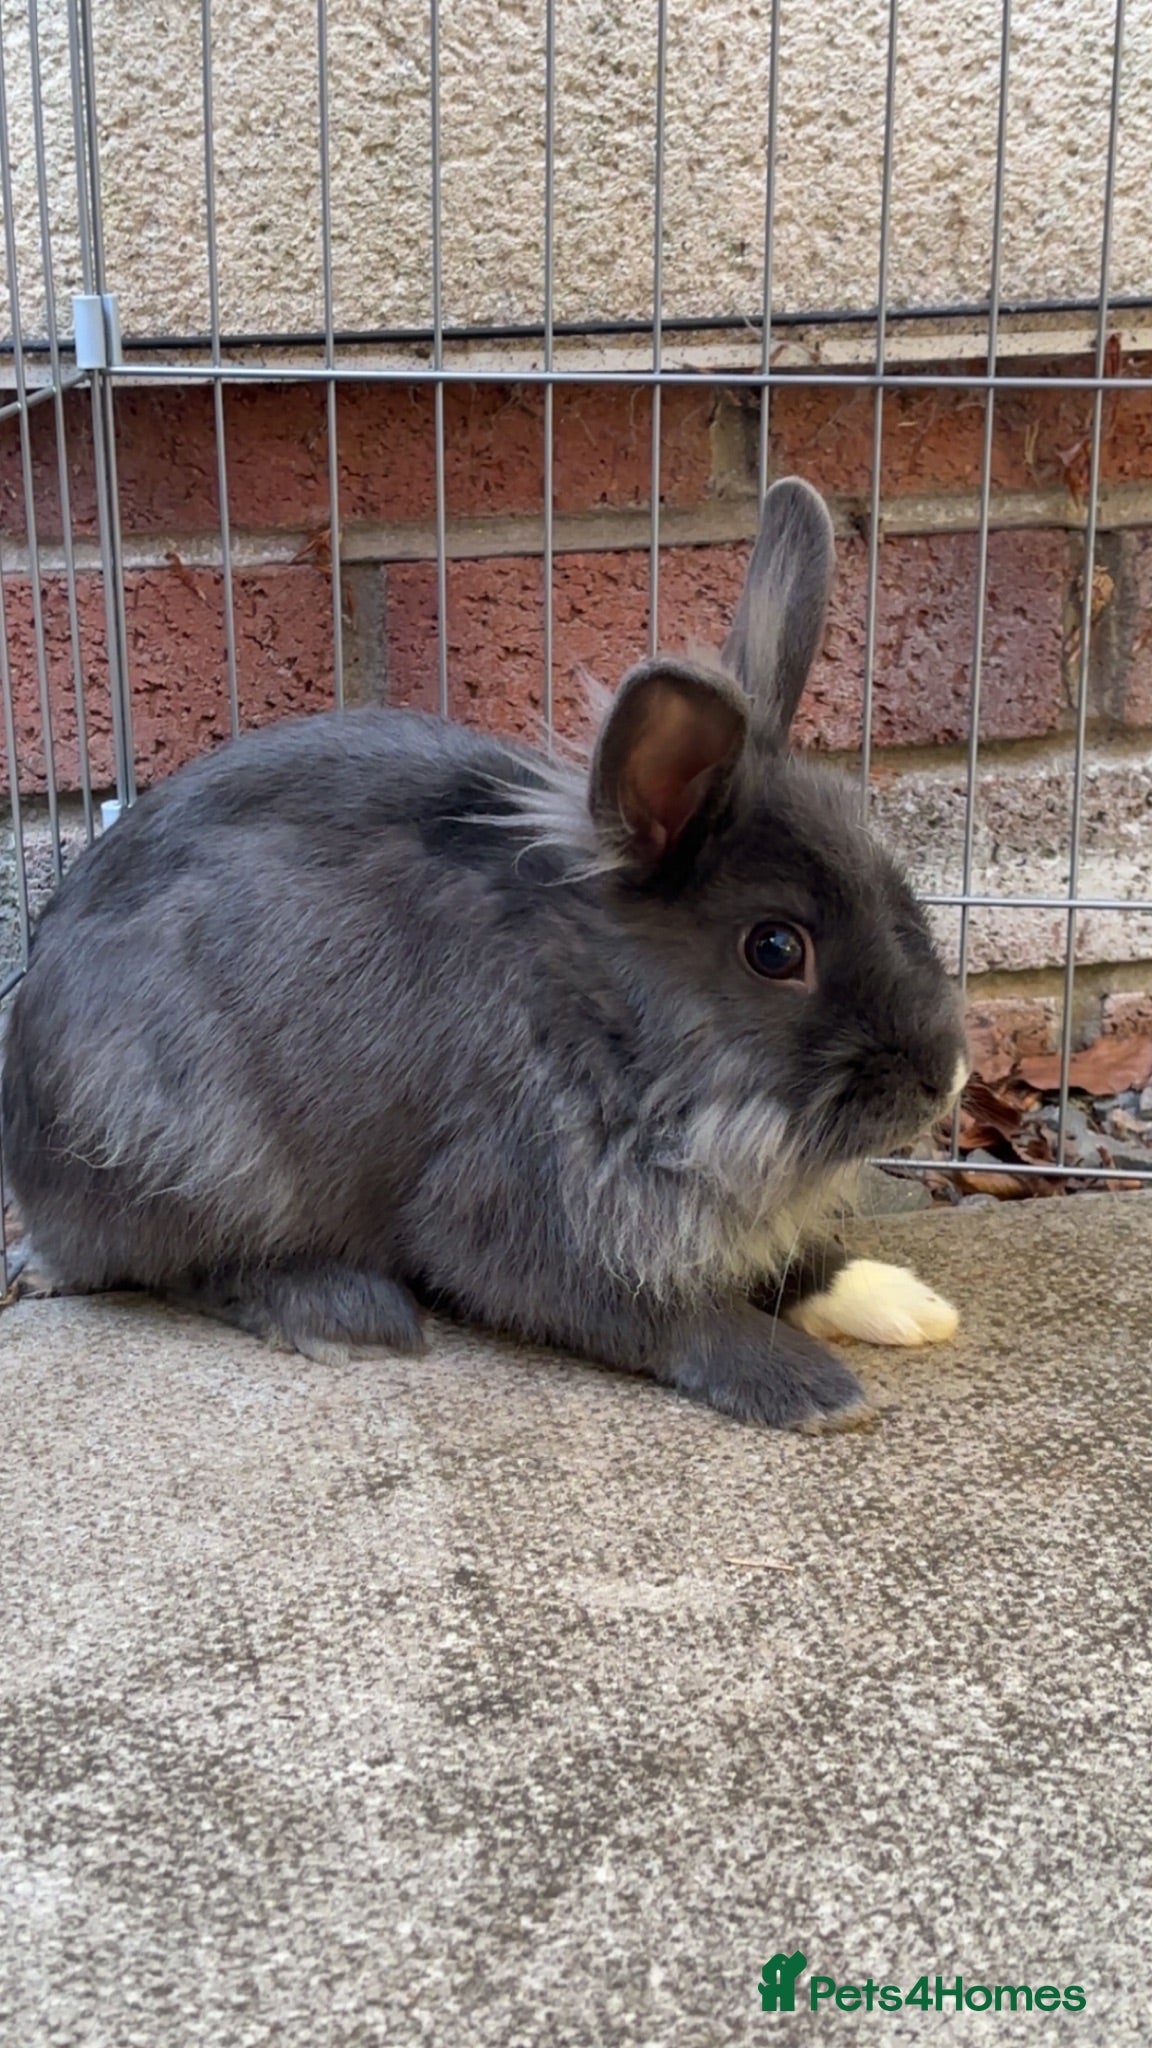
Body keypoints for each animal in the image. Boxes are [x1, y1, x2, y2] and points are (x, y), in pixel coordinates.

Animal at [1, 477, 967, 1430]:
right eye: (774, 947)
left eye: (897, 886)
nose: (946, 1076)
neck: (594, 1016)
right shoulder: (515, 1217)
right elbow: (659, 1311)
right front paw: (813, 1389)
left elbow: (783, 1265)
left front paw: (904, 1303)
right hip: (185, 1142)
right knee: (178, 1263)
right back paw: (344, 1312)